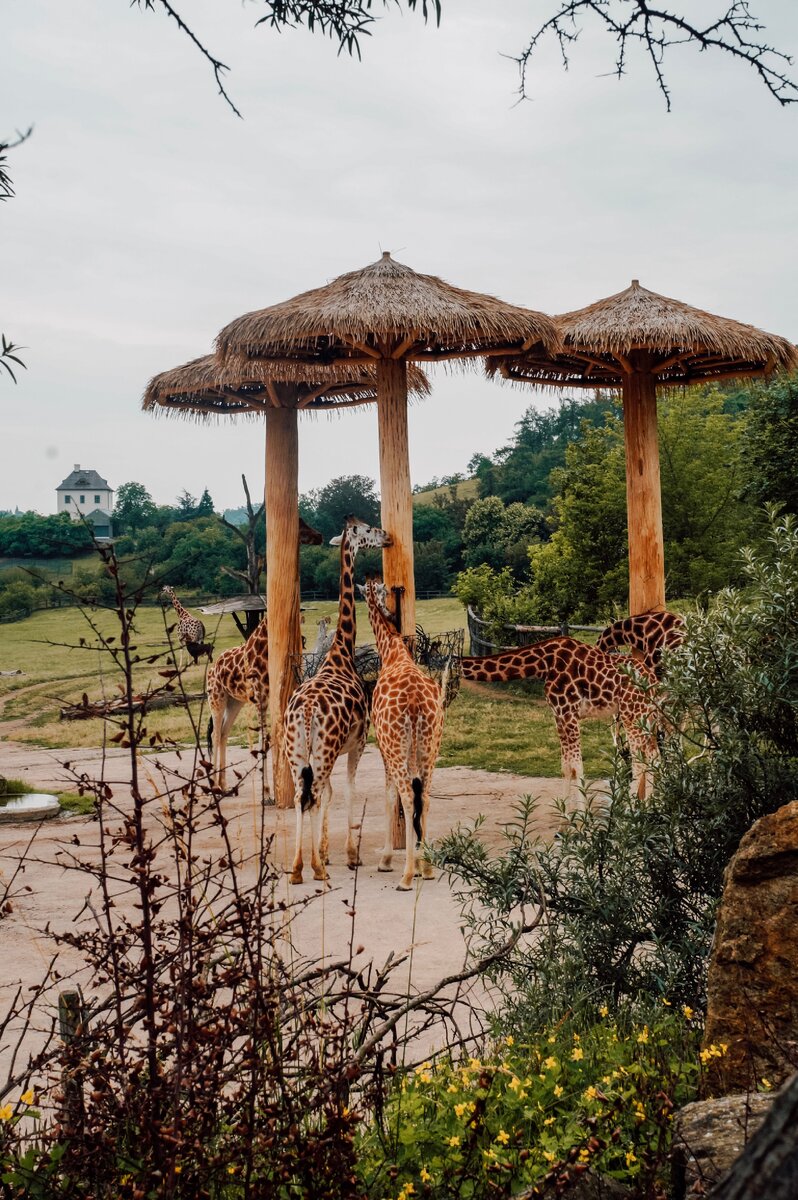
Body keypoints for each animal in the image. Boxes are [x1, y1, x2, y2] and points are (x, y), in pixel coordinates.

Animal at [283, 511, 391, 888]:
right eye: (369, 529)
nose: (387, 537)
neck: (340, 655)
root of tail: (306, 711)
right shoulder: (358, 743)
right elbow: (347, 790)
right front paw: (348, 854)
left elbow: (330, 794)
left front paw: (326, 851)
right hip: (324, 749)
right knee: (312, 795)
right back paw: (313, 868)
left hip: (297, 750)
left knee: (303, 795)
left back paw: (298, 869)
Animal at [458, 638, 657, 796]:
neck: (543, 664)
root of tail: (653, 679)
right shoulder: (558, 716)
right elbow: (565, 767)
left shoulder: (569, 712)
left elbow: (577, 766)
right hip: (647, 714)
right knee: (654, 755)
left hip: (631, 713)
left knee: (639, 762)